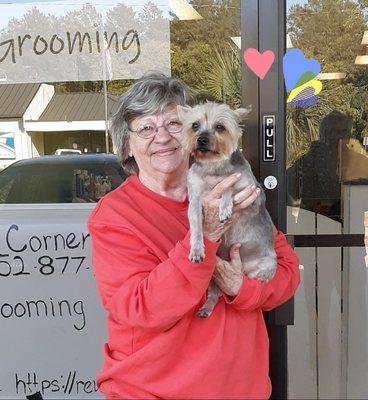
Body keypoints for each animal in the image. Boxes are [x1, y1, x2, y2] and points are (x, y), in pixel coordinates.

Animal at [176, 101, 276, 318]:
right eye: (194, 125)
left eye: (220, 127)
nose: (201, 139)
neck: (213, 167)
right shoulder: (195, 201)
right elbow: (196, 227)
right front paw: (196, 250)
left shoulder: (253, 196)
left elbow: (229, 186)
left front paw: (225, 206)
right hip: (213, 280)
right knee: (214, 294)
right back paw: (206, 308)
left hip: (263, 267)